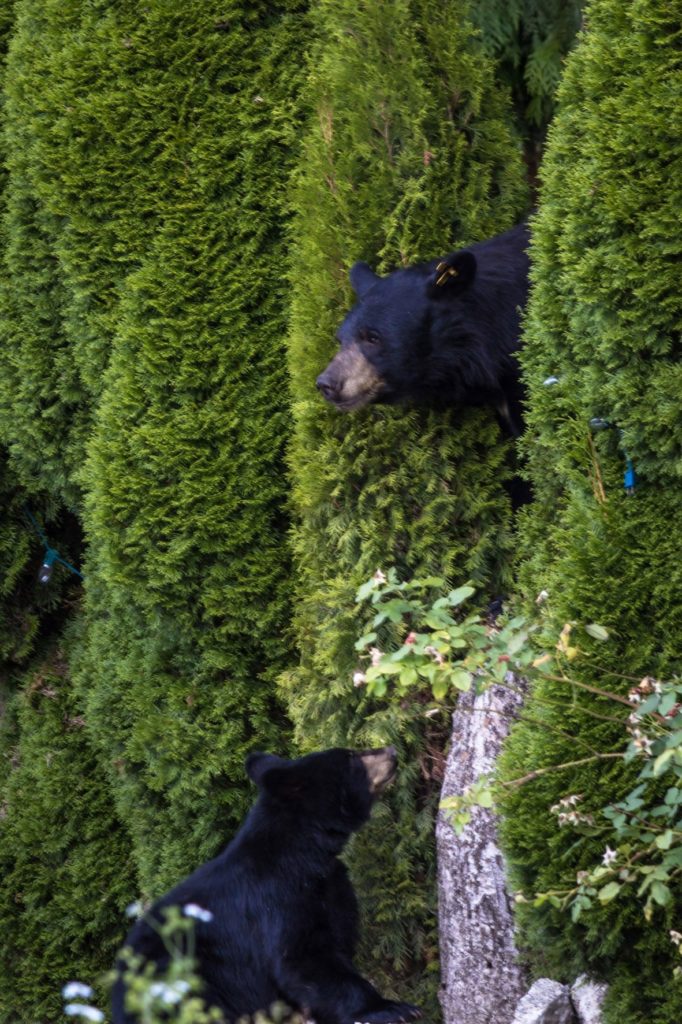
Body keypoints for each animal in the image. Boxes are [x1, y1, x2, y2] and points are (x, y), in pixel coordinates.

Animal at [112, 746, 421, 1024]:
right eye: (351, 757)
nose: (392, 751)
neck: (304, 852)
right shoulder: (277, 900)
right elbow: (304, 959)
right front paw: (392, 1009)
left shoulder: (332, 887)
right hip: (184, 975)